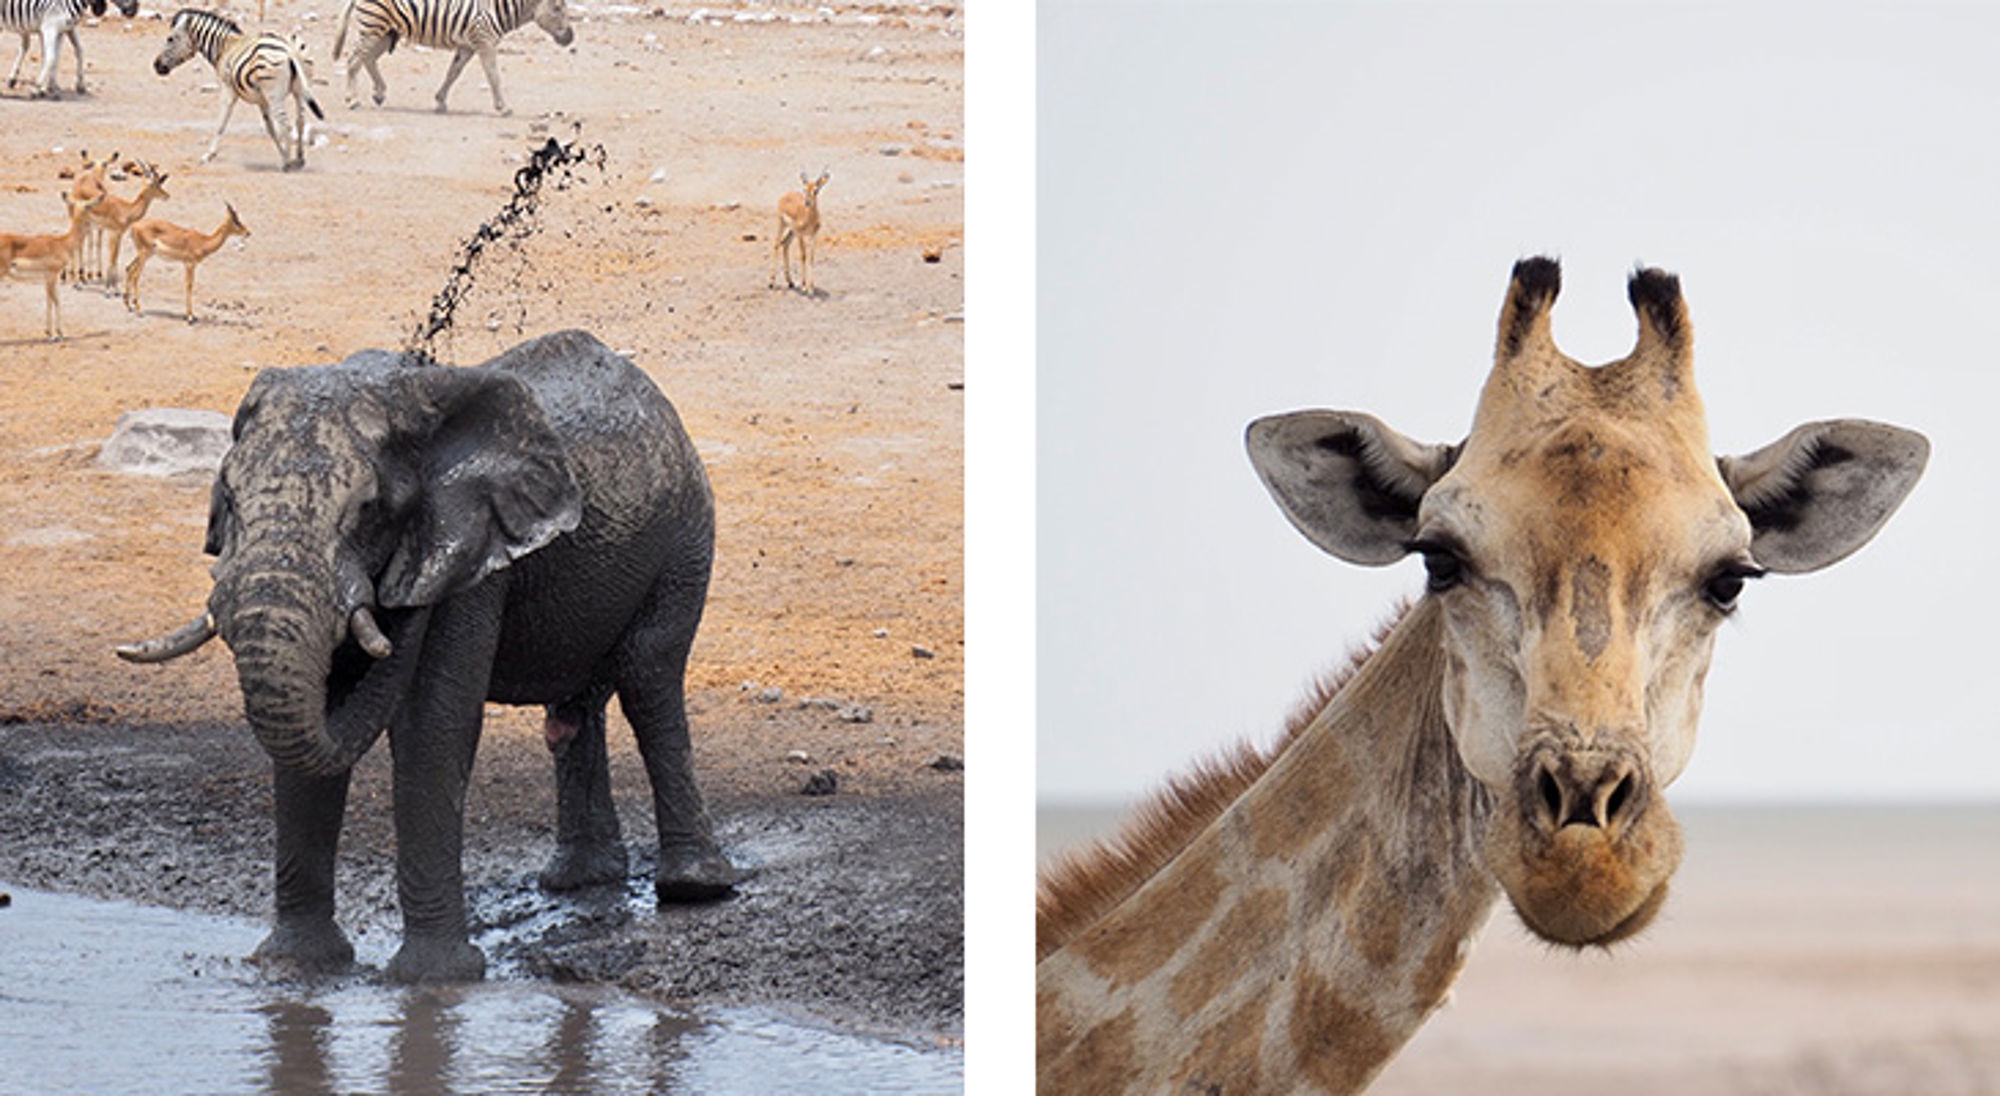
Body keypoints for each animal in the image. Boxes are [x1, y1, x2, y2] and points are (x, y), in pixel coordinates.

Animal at [4, 0, 139, 99]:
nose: (135, 9)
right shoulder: (50, 28)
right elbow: (51, 57)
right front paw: (38, 88)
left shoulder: (64, 29)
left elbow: (75, 51)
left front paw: (57, 86)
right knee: (27, 45)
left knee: (25, 45)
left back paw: (13, 79)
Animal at [152, 9, 324, 172]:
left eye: (170, 39)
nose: (156, 66)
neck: (224, 47)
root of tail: (289, 49)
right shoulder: (262, 100)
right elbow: (271, 129)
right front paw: (283, 156)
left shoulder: (228, 89)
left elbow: (221, 122)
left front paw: (209, 155)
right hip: (300, 89)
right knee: (300, 121)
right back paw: (299, 159)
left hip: (274, 94)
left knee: (286, 124)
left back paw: (288, 164)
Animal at [334, 0, 573, 116]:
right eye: (557, 8)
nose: (571, 38)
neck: (499, 10)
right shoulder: (484, 41)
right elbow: (494, 76)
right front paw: (503, 108)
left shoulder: (467, 46)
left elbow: (453, 73)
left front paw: (440, 101)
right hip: (373, 27)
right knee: (354, 60)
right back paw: (352, 100)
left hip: (386, 31)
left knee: (367, 59)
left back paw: (379, 93)